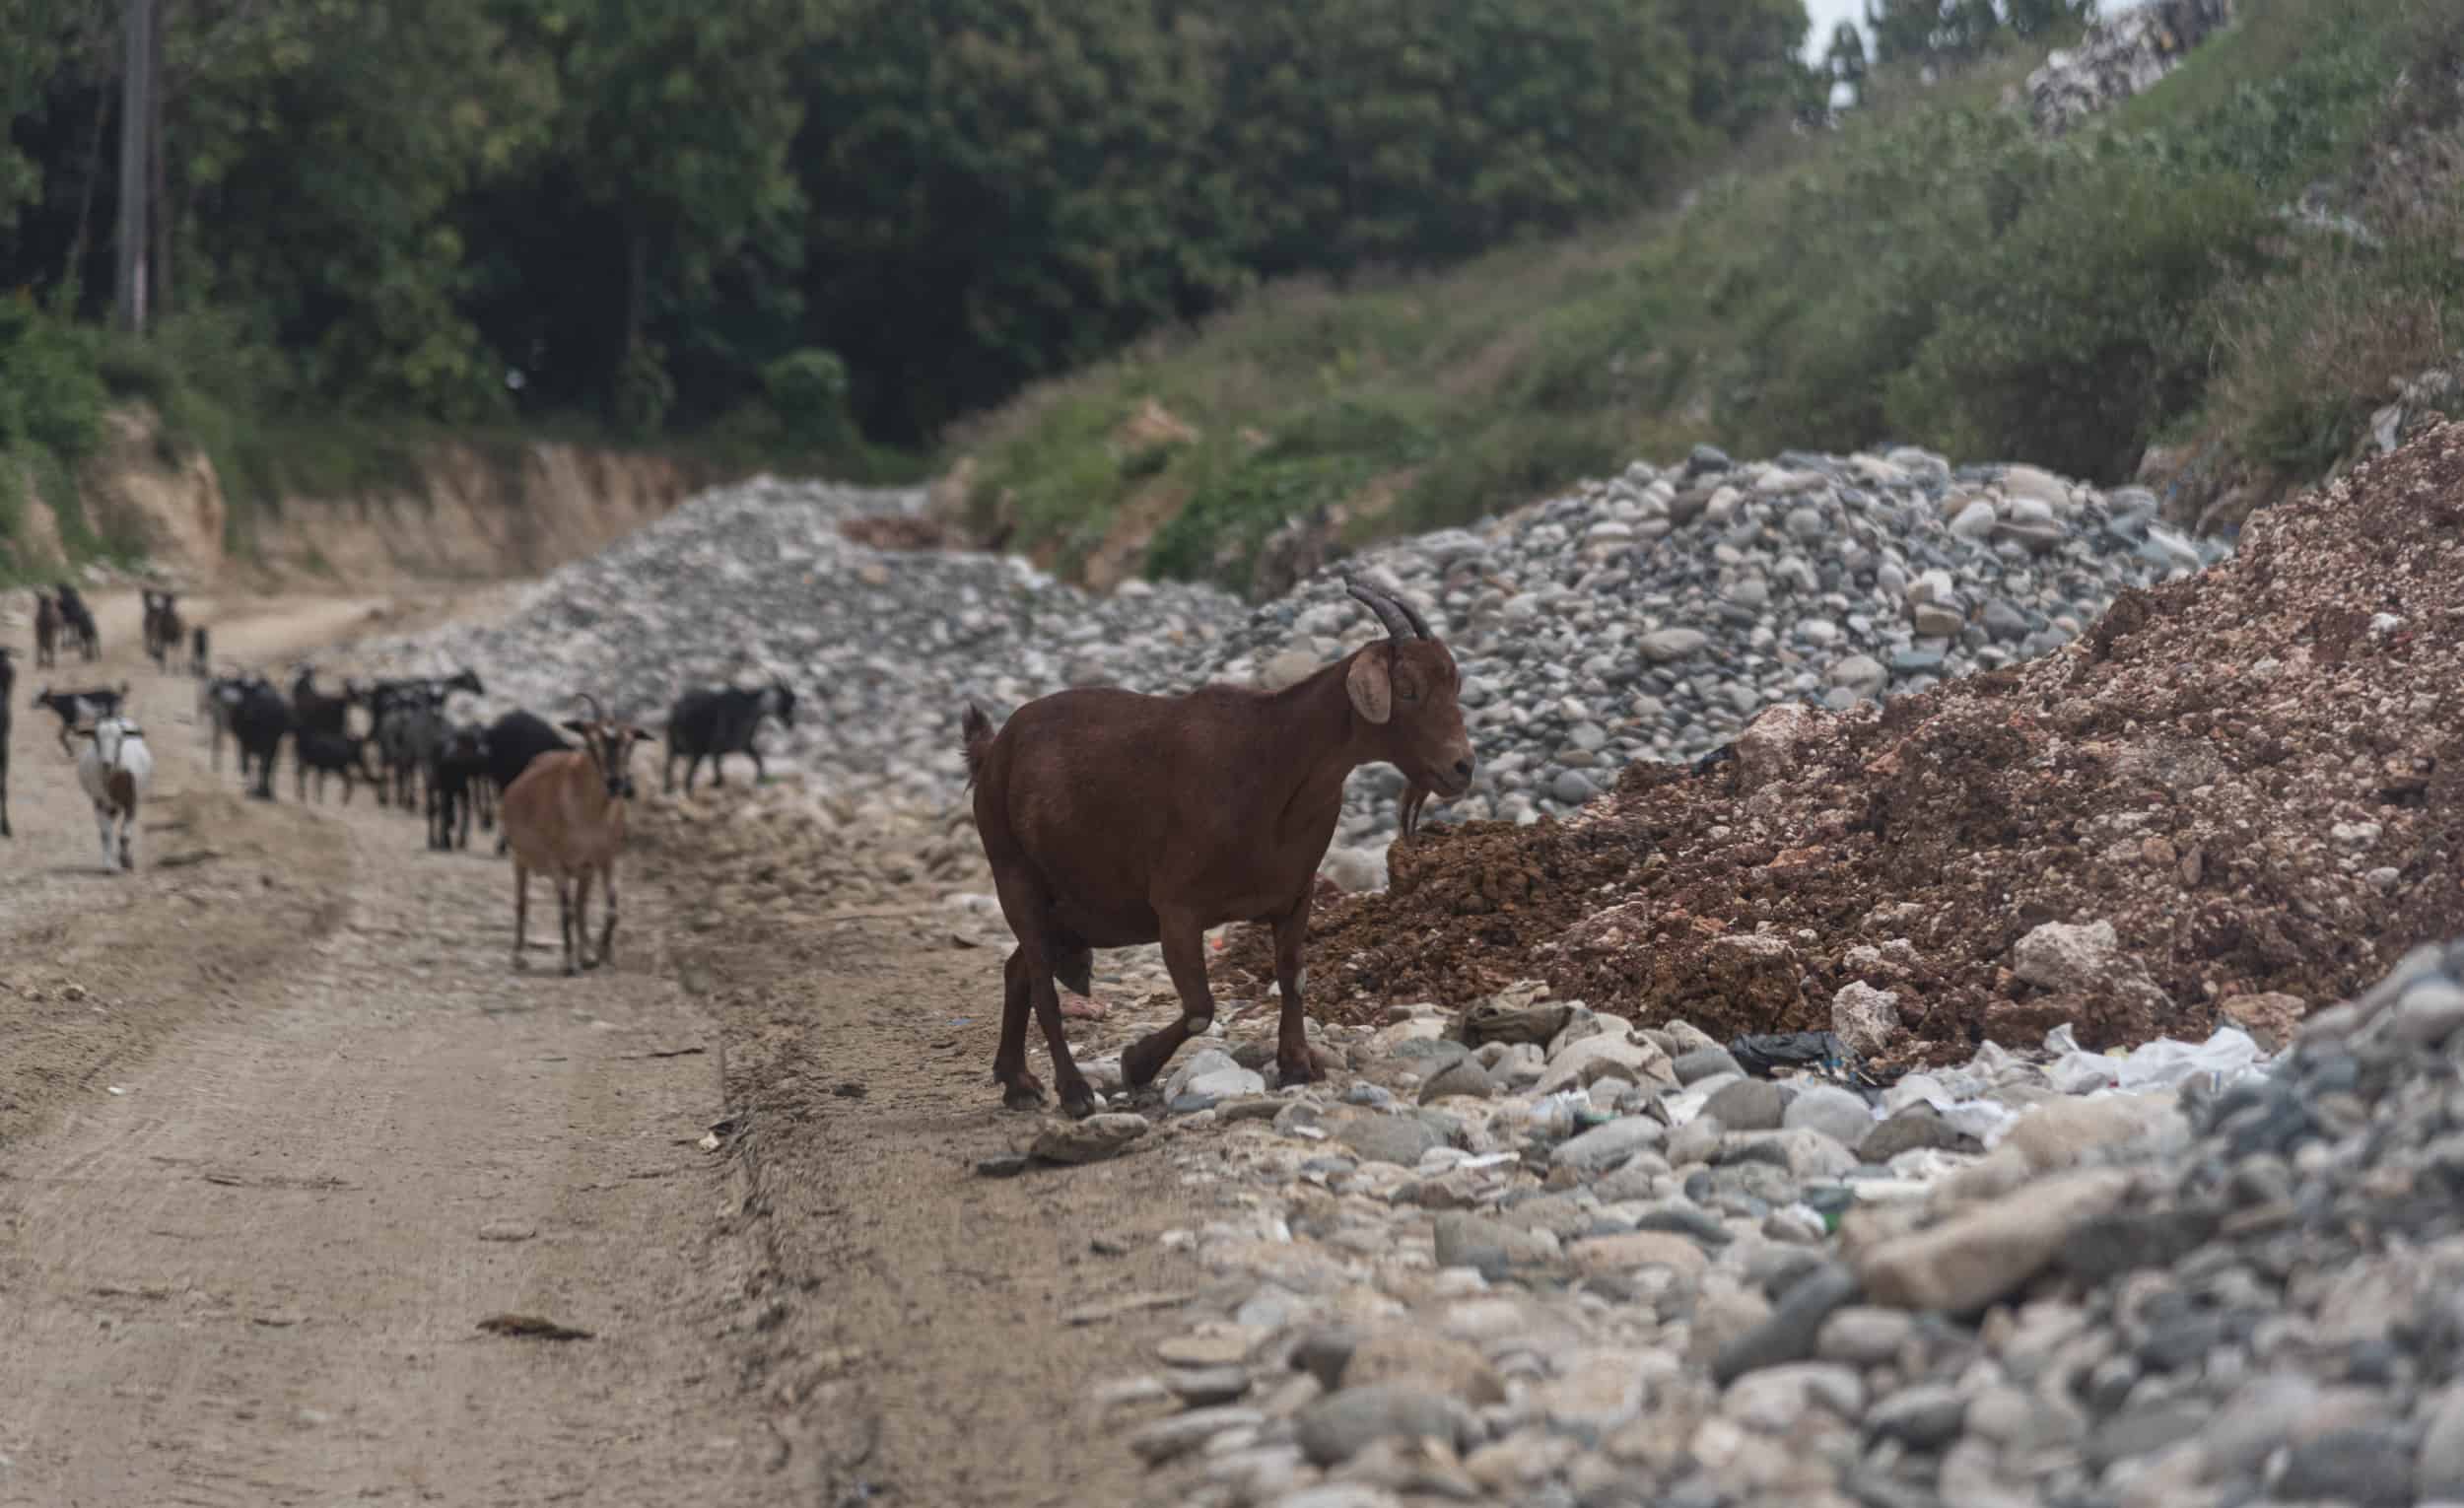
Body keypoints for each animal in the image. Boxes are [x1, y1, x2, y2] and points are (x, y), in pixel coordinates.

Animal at [498, 695, 655, 976]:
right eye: (591, 741)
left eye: (630, 743)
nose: (616, 783)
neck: (588, 815)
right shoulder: (557, 862)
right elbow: (566, 910)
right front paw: (569, 963)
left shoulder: (606, 859)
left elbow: (611, 910)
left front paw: (602, 956)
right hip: (519, 858)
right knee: (523, 903)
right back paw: (519, 957)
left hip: (584, 871)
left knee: (582, 906)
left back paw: (587, 955)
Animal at [665, 675, 798, 793]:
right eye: (786, 701)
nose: (790, 724)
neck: (750, 709)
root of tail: (679, 713)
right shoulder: (718, 747)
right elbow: (720, 776)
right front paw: (714, 784)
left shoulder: (744, 745)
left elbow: (758, 760)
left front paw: (759, 780)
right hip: (696, 750)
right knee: (687, 779)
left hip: (675, 746)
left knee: (670, 768)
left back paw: (668, 789)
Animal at [956, 577, 1459, 1119]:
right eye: (1407, 690)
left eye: (1455, 686)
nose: (1462, 767)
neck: (1277, 762)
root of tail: (992, 752)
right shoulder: (1177, 906)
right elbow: (1200, 1008)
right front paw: (1136, 1064)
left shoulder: (1295, 895)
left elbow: (1292, 976)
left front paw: (1297, 1066)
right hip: (1013, 872)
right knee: (1042, 983)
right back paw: (1073, 1092)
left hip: (1074, 906)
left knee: (1018, 970)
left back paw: (1019, 1082)